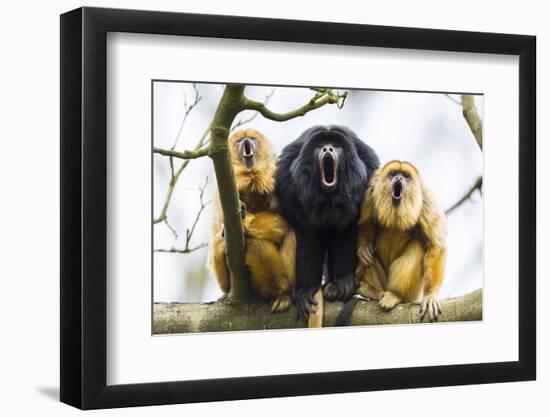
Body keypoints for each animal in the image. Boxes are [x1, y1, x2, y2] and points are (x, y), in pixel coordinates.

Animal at [208, 128, 296, 310]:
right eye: (239, 141)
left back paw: (283, 292)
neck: (251, 177)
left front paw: (245, 224)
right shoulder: (221, 193)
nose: (246, 141)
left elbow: (288, 220)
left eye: (252, 139)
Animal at [274, 124, 380, 318]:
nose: (327, 148)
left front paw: (344, 279)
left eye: (336, 146)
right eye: (320, 146)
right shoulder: (288, 185)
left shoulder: (368, 175)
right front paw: (307, 289)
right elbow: (306, 237)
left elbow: (350, 230)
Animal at [356, 161, 450, 320]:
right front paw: (363, 249)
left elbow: (436, 246)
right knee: (368, 259)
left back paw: (396, 295)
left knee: (418, 245)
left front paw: (430, 296)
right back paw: (372, 290)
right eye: (393, 174)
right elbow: (365, 223)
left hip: (413, 293)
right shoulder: (370, 192)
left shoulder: (427, 200)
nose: (398, 178)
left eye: (405, 176)